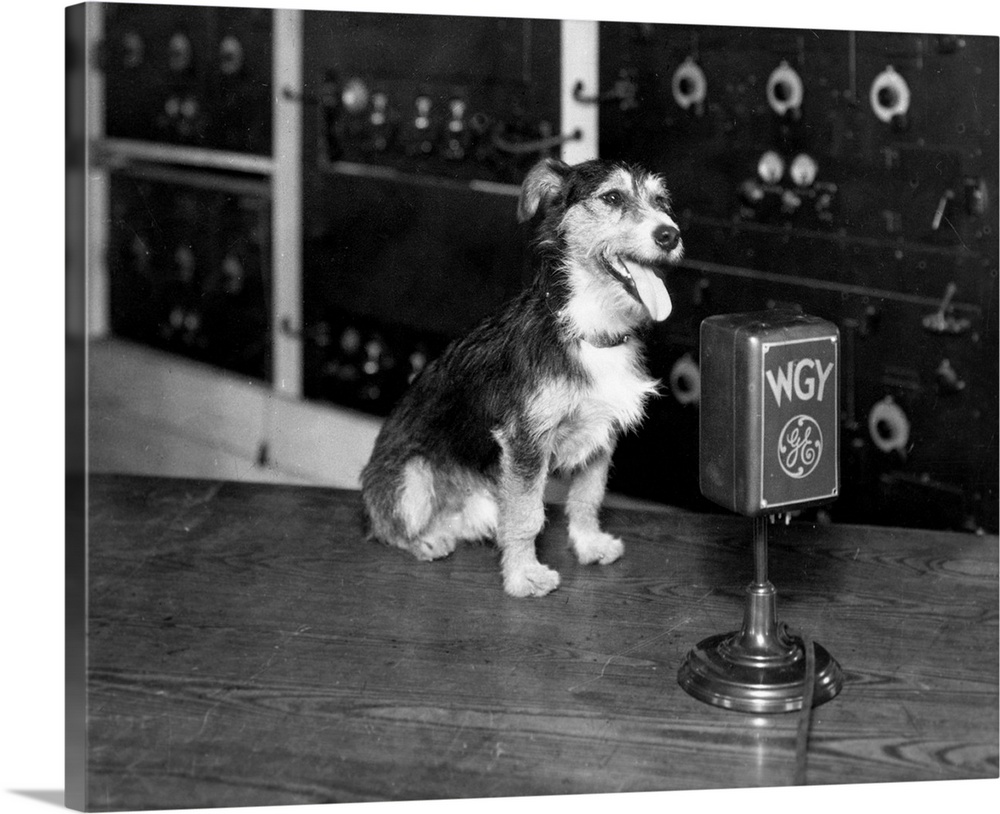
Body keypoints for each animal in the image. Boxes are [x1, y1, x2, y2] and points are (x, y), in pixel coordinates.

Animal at [364, 156, 684, 596]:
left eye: (661, 202)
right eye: (612, 198)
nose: (670, 235)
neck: (588, 329)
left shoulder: (601, 437)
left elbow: (587, 498)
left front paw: (588, 544)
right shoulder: (525, 443)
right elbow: (526, 515)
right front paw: (523, 575)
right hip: (411, 479)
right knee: (385, 527)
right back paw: (425, 539)